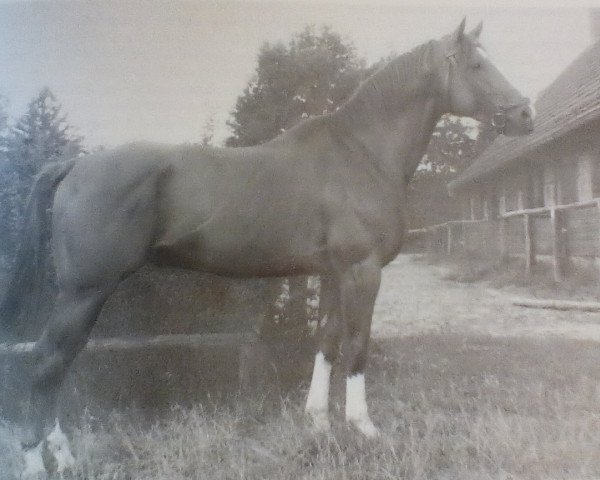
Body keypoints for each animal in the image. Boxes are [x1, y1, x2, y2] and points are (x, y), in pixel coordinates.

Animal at [1, 18, 536, 476]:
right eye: (476, 64)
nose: (527, 114)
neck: (361, 152)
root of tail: (75, 165)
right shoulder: (362, 271)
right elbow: (356, 346)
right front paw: (364, 428)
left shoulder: (332, 273)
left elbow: (325, 343)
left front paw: (317, 423)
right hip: (86, 291)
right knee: (49, 361)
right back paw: (36, 461)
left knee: (61, 362)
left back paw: (63, 456)